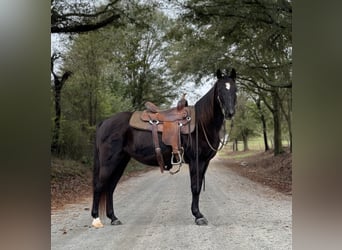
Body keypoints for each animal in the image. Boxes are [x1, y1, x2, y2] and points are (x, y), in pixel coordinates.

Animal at [91, 68, 238, 227]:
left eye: (235, 89)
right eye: (220, 90)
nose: (230, 113)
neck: (201, 123)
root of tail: (104, 122)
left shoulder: (205, 161)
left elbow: (197, 186)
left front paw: (198, 214)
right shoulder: (196, 161)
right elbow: (195, 187)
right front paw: (198, 215)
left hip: (121, 161)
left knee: (110, 187)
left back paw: (113, 218)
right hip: (109, 162)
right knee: (99, 185)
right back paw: (96, 219)